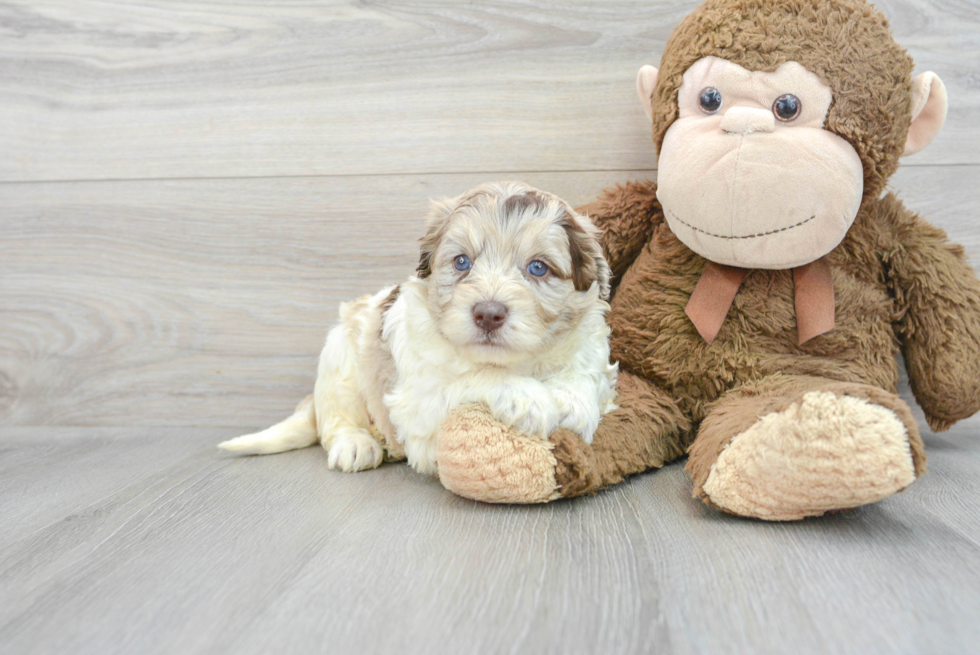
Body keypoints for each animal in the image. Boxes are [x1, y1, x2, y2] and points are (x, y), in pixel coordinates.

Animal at [223, 182, 620, 474]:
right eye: (461, 262)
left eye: (538, 268)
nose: (488, 314)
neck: (514, 361)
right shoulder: (419, 403)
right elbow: (473, 378)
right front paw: (528, 397)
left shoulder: (592, 349)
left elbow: (587, 375)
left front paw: (571, 400)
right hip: (340, 361)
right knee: (335, 420)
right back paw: (357, 444)